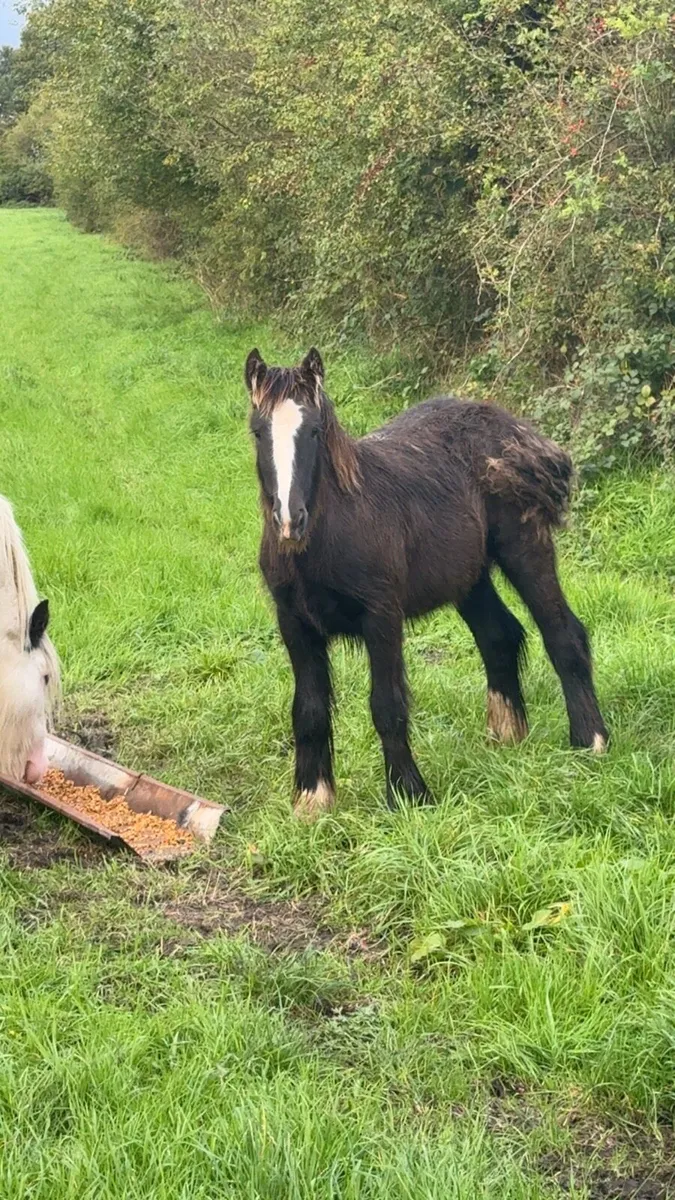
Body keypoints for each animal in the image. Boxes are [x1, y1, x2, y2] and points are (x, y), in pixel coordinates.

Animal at [245, 347, 608, 819]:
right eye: (257, 432)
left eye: (315, 430)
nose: (290, 521)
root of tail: (519, 432)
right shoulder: (294, 623)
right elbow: (308, 710)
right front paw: (312, 801)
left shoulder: (382, 616)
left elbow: (387, 705)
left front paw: (408, 795)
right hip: (469, 577)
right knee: (499, 635)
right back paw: (507, 735)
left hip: (525, 549)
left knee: (564, 634)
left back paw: (590, 739)